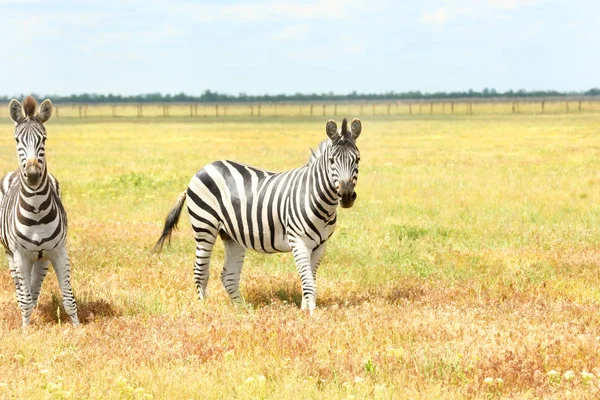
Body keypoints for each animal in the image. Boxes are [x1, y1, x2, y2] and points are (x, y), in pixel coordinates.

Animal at [0, 96, 79, 328]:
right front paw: (26, 330)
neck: (36, 210)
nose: (34, 175)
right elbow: (25, 299)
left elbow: (69, 298)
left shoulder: (58, 251)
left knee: (34, 286)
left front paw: (78, 328)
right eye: (17, 140)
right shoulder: (20, 255)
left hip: (42, 257)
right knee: (21, 289)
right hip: (11, 255)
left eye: (43, 139)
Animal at [155, 117, 360, 314]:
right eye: (332, 160)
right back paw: (203, 308)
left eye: (357, 159)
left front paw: (305, 310)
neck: (316, 198)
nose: (346, 195)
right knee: (200, 271)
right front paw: (310, 314)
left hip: (231, 234)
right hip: (204, 226)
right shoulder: (298, 241)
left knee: (228, 275)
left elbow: (310, 277)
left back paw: (242, 311)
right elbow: (308, 281)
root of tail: (203, 168)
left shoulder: (320, 245)